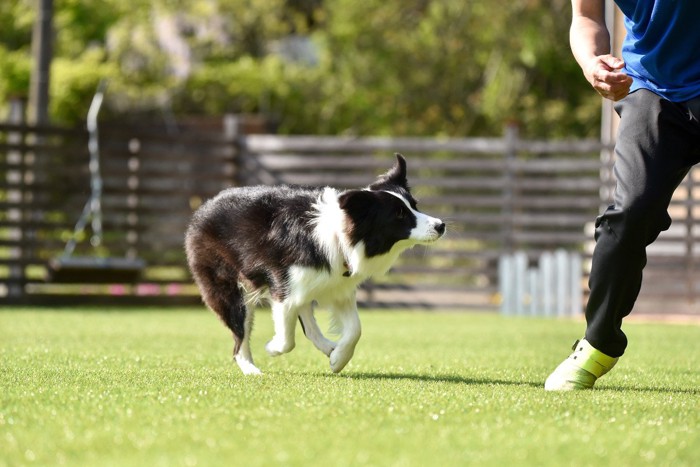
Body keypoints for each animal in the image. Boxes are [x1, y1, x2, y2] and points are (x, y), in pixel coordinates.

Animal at [186, 154, 446, 376]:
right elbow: (287, 339)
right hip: (230, 289)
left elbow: (355, 329)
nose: (441, 225)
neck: (340, 236)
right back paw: (251, 369)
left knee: (306, 320)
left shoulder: (338, 287)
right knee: (239, 337)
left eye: (414, 205)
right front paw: (273, 348)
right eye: (399, 214)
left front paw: (339, 358)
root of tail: (204, 207)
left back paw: (328, 347)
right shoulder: (283, 286)